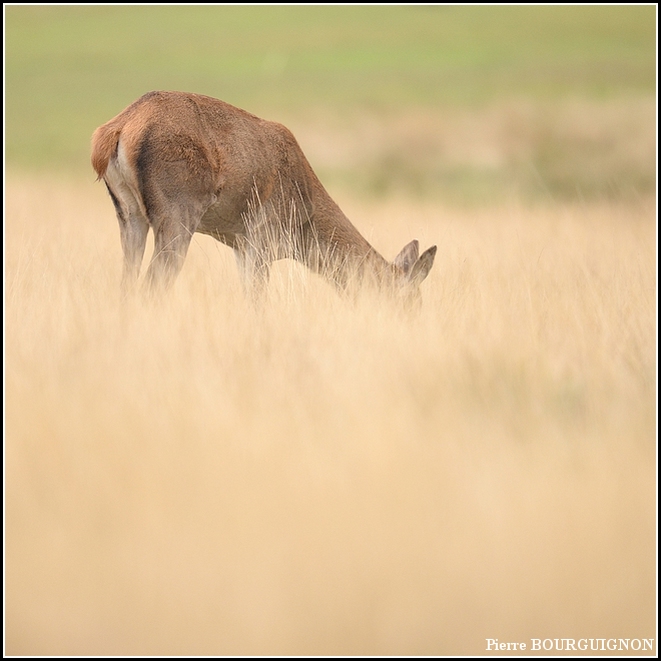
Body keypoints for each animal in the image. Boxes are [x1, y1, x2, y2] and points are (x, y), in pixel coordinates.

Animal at [90, 90, 436, 304]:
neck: (303, 223)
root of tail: (115, 131)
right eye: (410, 302)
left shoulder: (241, 246)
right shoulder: (261, 240)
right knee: (153, 284)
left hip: (129, 213)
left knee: (127, 283)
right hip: (177, 213)